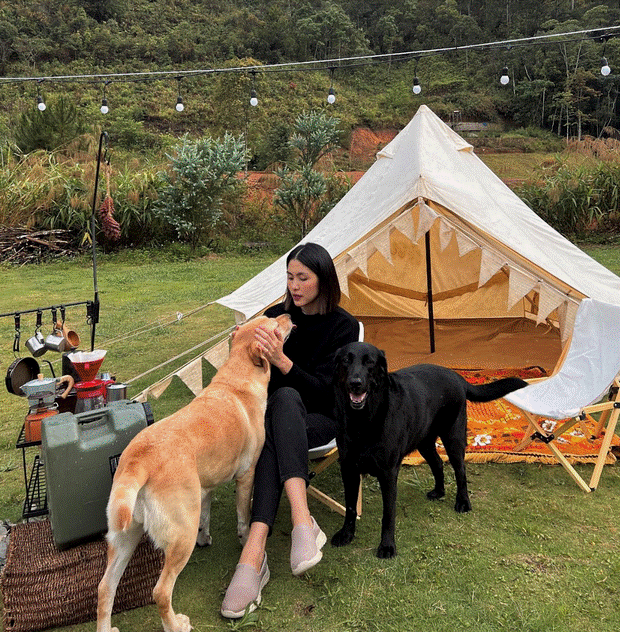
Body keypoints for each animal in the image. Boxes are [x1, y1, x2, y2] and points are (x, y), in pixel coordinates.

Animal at [95, 314, 294, 632]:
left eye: (266, 318)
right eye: (273, 326)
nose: (287, 315)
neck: (237, 377)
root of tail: (141, 458)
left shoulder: (205, 487)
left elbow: (206, 515)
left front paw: (206, 537)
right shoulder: (247, 474)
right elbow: (244, 517)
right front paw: (245, 538)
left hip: (124, 537)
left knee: (105, 587)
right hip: (179, 538)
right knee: (160, 592)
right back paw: (176, 625)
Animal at [332, 340, 524, 556]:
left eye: (370, 362)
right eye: (346, 360)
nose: (355, 383)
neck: (362, 421)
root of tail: (456, 376)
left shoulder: (388, 473)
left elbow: (388, 514)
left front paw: (387, 546)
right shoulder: (348, 468)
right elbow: (350, 507)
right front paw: (346, 535)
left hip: (453, 438)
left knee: (460, 471)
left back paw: (463, 502)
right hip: (424, 442)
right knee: (438, 463)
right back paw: (439, 491)